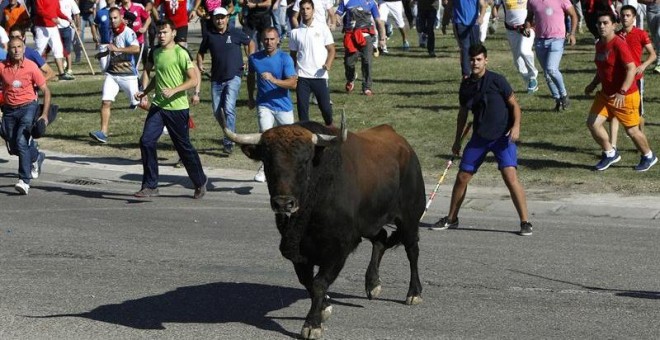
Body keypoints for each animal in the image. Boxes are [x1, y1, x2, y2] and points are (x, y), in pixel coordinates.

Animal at [223, 113, 428, 338]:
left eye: (304, 161)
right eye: (267, 162)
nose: (284, 203)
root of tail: (403, 144)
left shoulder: (338, 249)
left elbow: (319, 283)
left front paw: (312, 324)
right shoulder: (298, 251)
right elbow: (308, 281)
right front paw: (325, 307)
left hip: (409, 218)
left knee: (412, 251)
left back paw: (414, 293)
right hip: (370, 222)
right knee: (381, 239)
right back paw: (373, 284)